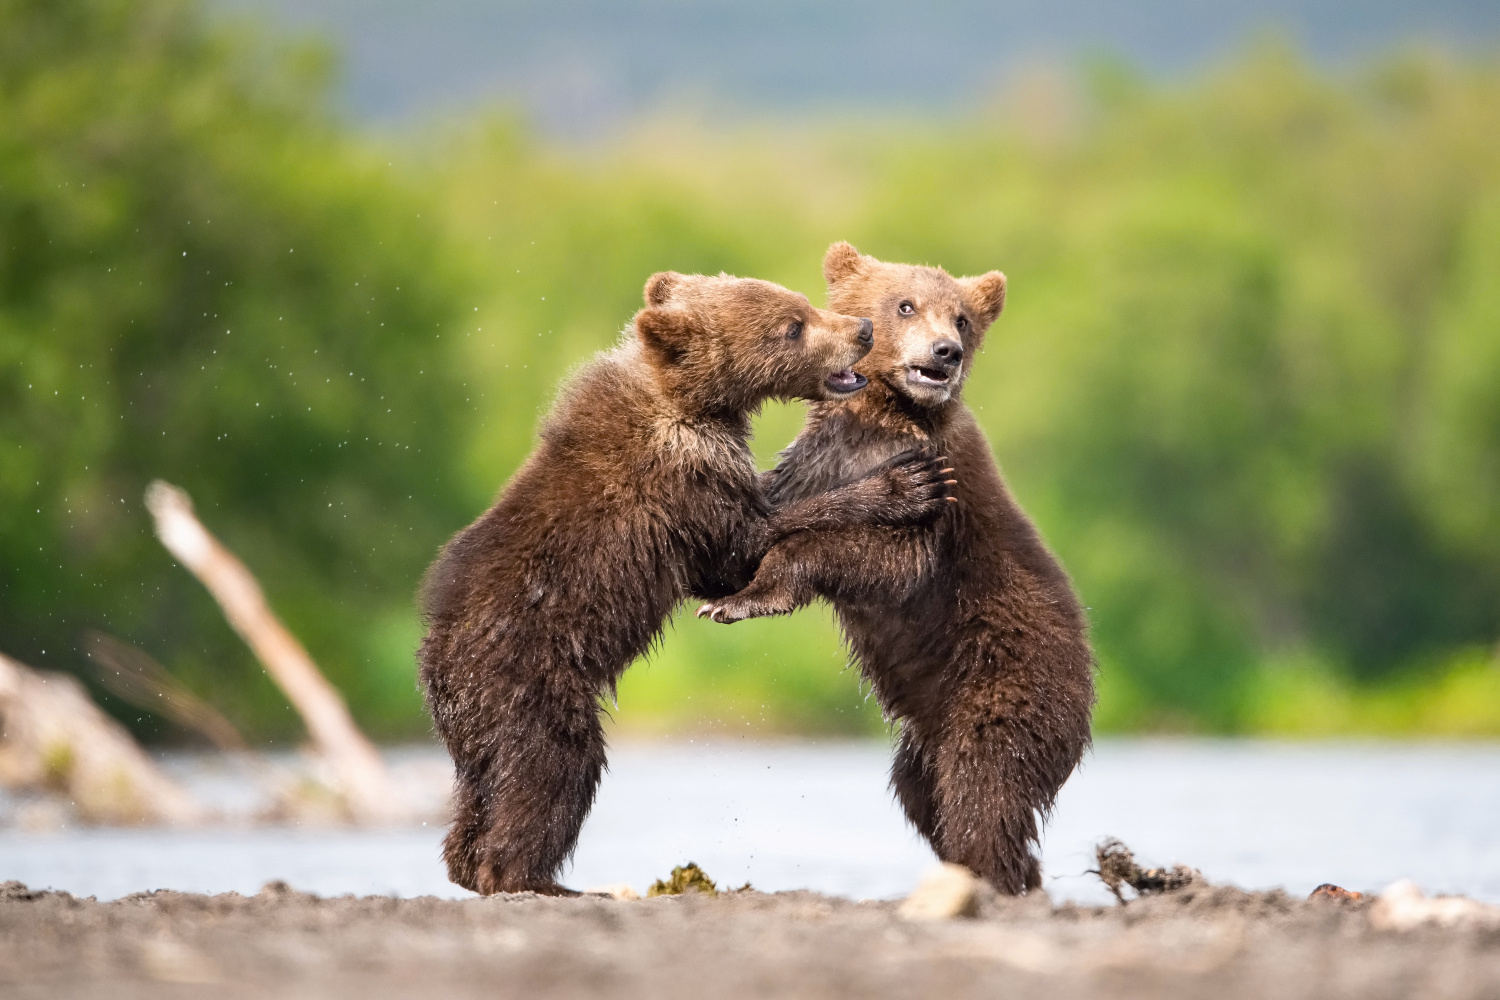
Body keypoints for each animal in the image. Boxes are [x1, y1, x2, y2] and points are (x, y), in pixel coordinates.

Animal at [414, 269, 948, 893]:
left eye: (801, 302)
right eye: (792, 326)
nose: (862, 329)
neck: (693, 405)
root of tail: (441, 667)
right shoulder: (682, 486)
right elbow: (742, 549)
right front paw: (904, 483)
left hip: (474, 723)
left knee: (481, 788)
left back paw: (468, 862)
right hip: (529, 682)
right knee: (553, 767)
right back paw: (532, 876)